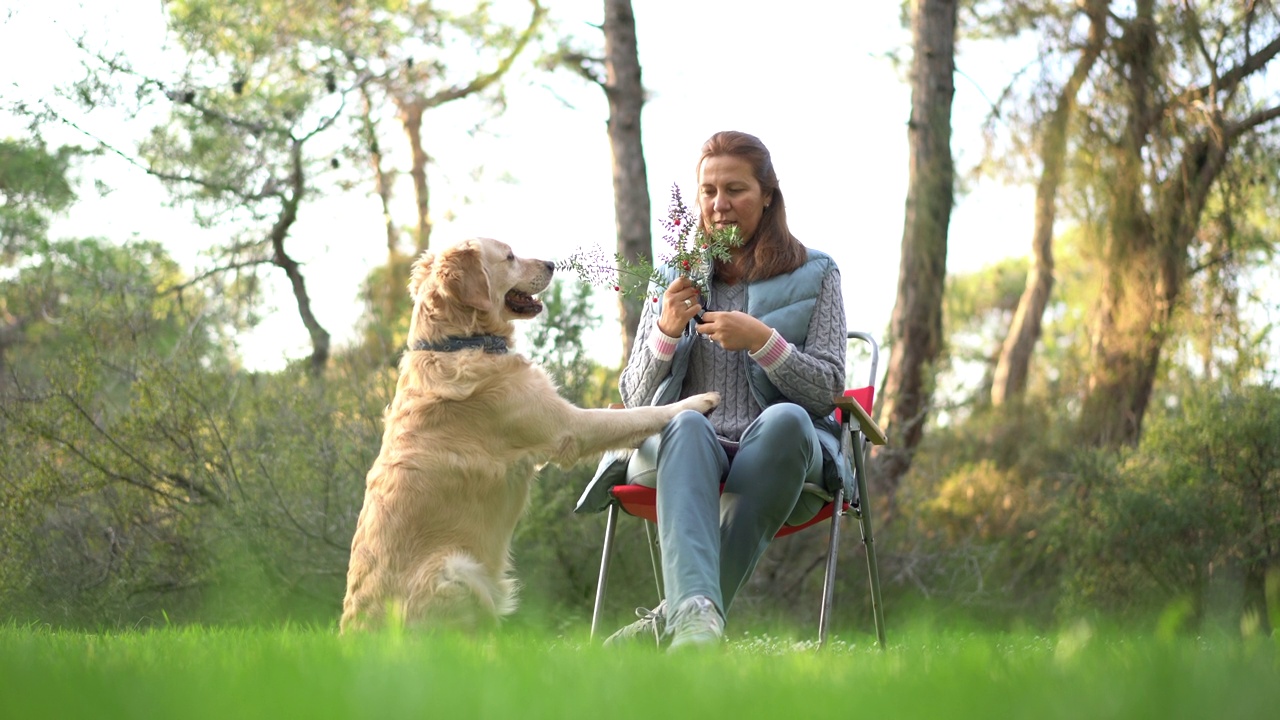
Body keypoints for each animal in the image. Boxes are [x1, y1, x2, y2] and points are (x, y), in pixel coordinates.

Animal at [340, 235, 721, 627]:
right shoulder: (568, 425)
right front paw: (697, 402)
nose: (552, 264)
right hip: (459, 571)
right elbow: (639, 415)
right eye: (509, 257)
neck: (461, 342)